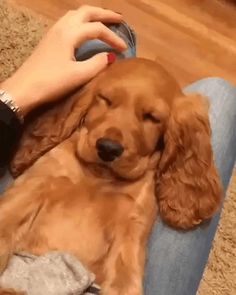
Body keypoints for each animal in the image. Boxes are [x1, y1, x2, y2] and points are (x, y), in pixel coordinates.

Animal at [0, 58, 221, 295]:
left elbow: (125, 283)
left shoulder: (130, 232)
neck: (98, 178)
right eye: (105, 99)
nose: (108, 148)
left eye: (151, 117)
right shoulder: (31, 189)